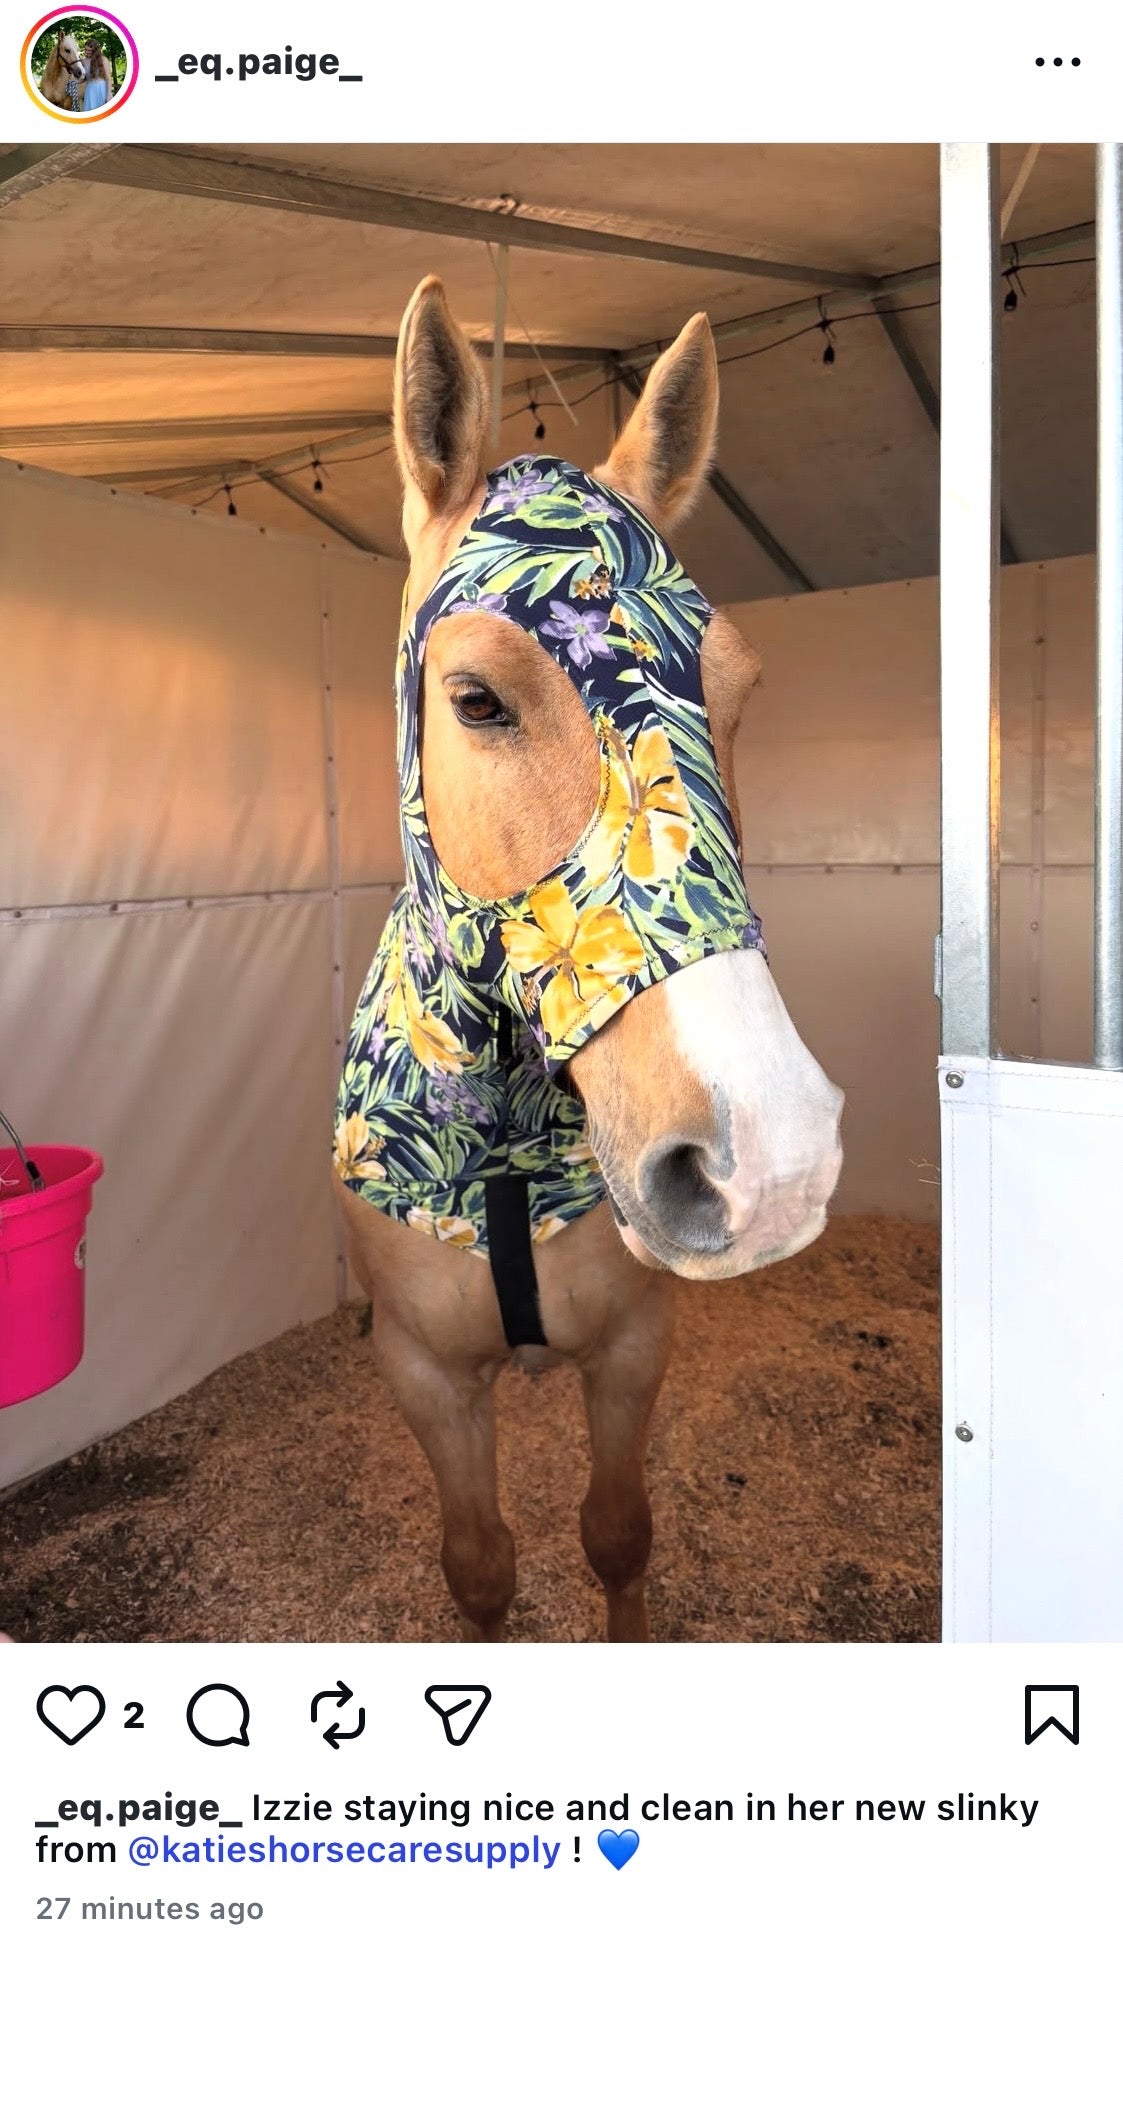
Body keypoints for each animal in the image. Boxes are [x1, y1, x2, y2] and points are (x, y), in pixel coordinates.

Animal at [334, 276, 844, 1643]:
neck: (497, 1149)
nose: (770, 1160)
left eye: (738, 688)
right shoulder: (424, 1378)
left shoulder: (631, 1349)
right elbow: (480, 1569)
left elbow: (617, 1538)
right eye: (474, 699)